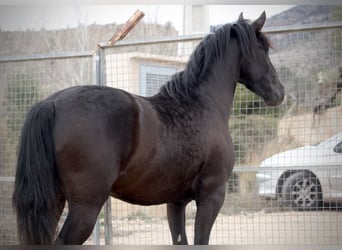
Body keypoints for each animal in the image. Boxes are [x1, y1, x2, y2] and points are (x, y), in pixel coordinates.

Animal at [12, 11, 284, 244]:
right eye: (263, 48)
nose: (279, 92)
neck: (202, 104)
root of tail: (51, 103)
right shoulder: (211, 197)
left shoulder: (176, 202)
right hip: (85, 207)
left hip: (54, 202)